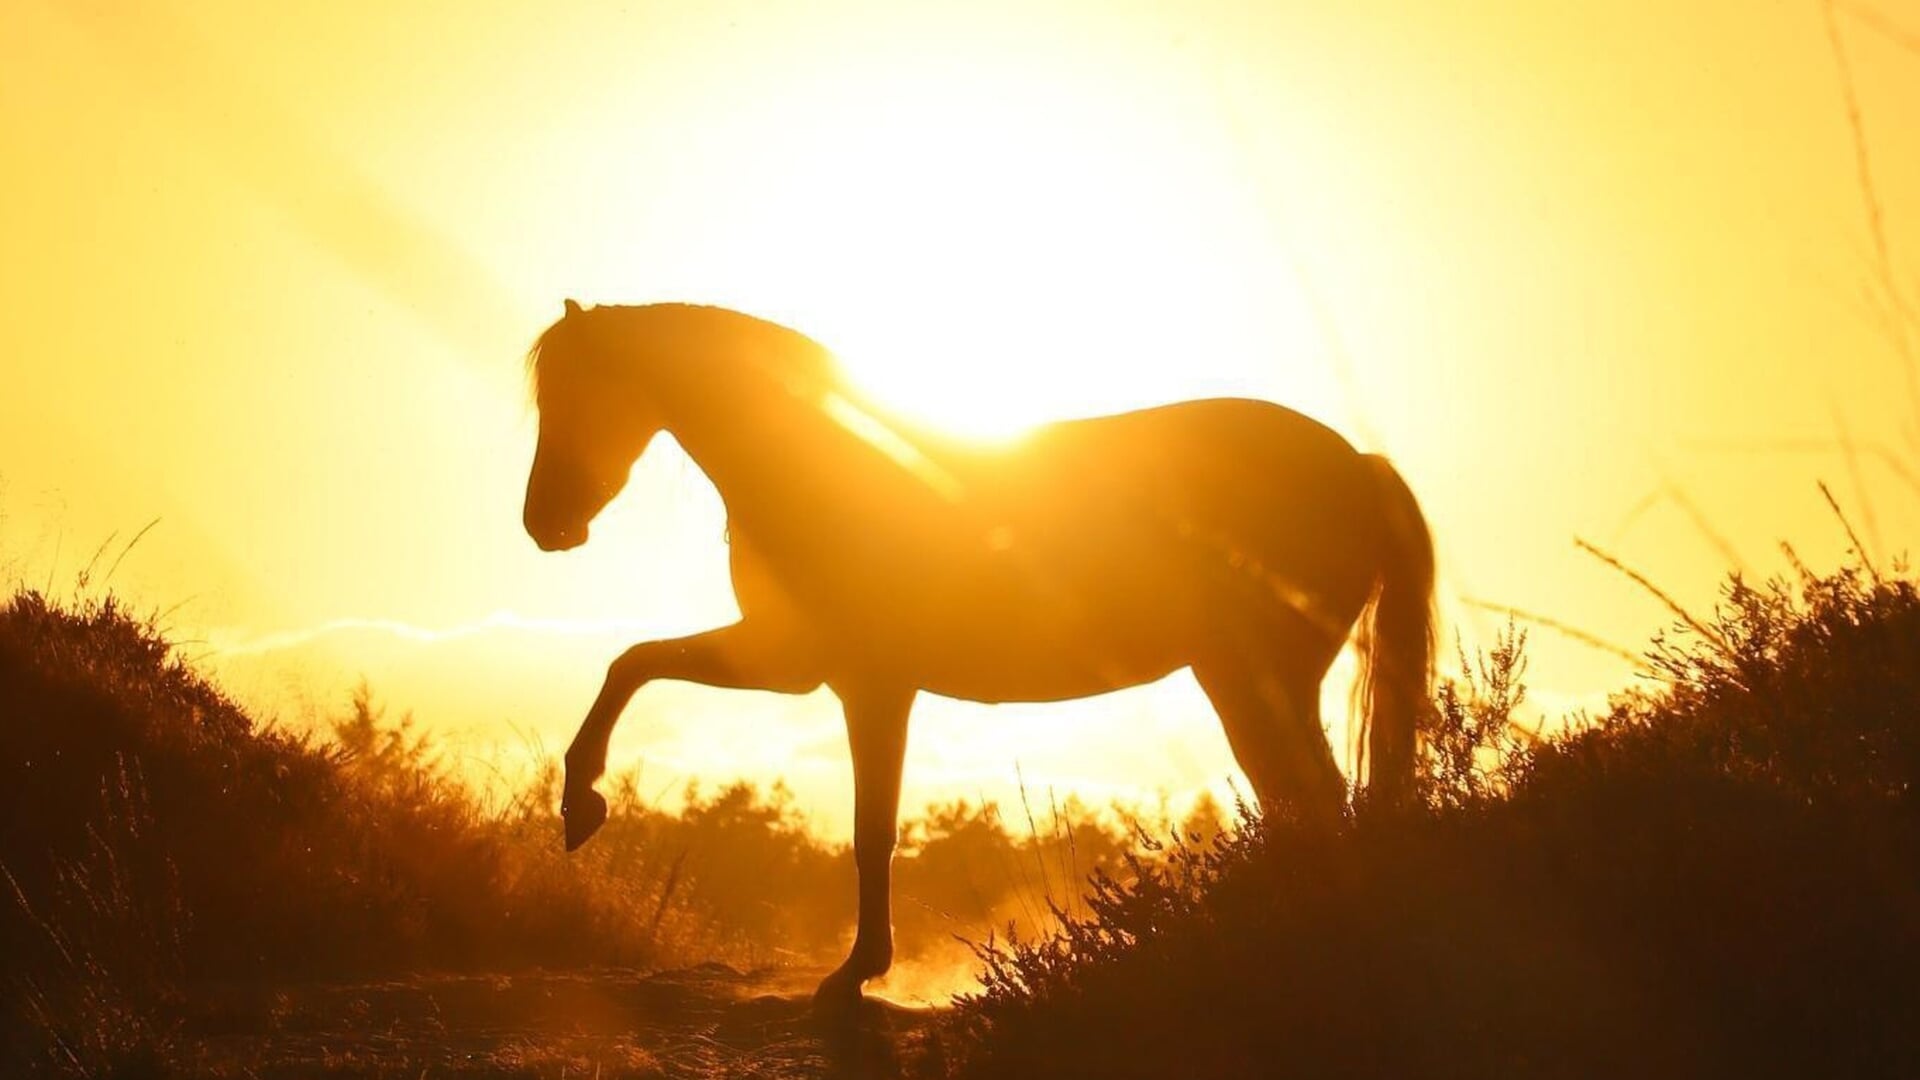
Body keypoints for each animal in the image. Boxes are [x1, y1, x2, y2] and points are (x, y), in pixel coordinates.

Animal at [520, 300, 1436, 1006]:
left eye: (580, 393)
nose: (545, 524)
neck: (822, 466)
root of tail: (1356, 464)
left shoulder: (868, 685)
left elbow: (871, 830)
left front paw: (855, 973)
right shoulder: (796, 663)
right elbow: (633, 662)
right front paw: (581, 806)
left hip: (1252, 678)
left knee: (1310, 800)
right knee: (1304, 802)